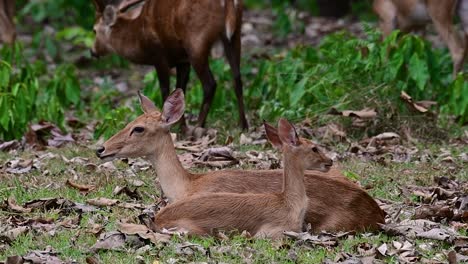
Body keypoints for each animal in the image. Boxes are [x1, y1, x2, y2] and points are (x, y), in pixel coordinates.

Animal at [91, 0, 249, 131]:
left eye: (94, 29)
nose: (92, 51)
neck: (139, 39)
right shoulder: (182, 60)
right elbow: (180, 90)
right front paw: (181, 128)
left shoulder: (159, 56)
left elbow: (166, 90)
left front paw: (174, 127)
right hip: (234, 35)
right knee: (237, 78)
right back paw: (242, 125)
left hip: (196, 42)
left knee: (210, 84)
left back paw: (198, 126)